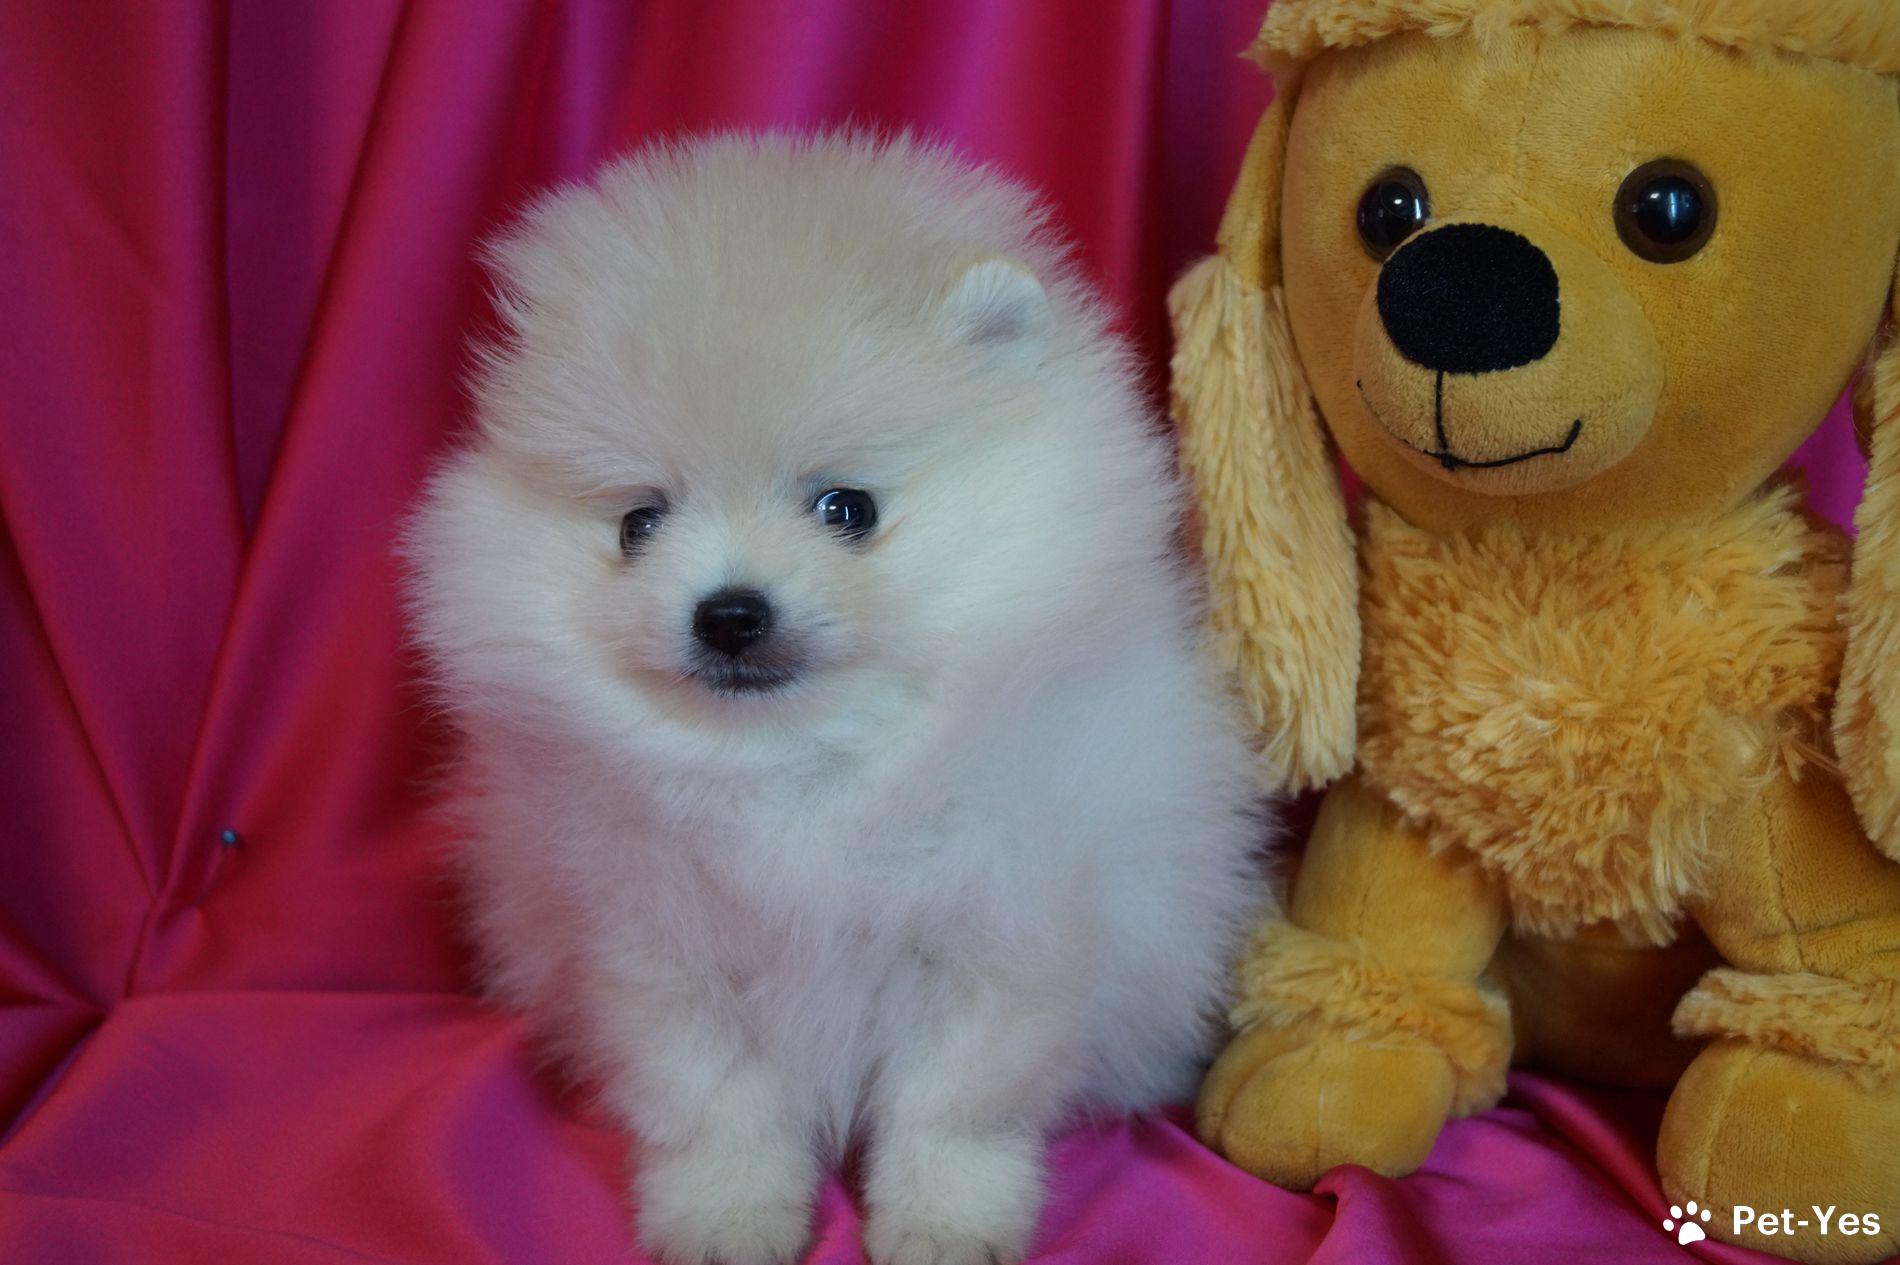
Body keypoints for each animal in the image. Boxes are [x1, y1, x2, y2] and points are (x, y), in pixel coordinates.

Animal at [406, 132, 1265, 1265]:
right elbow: (715, 1103)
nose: (729, 611)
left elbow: (956, 1107)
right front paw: (726, 1217)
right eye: (639, 522)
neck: (801, 770)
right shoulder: (658, 948)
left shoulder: (1001, 934)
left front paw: (945, 1223)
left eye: (847, 509)